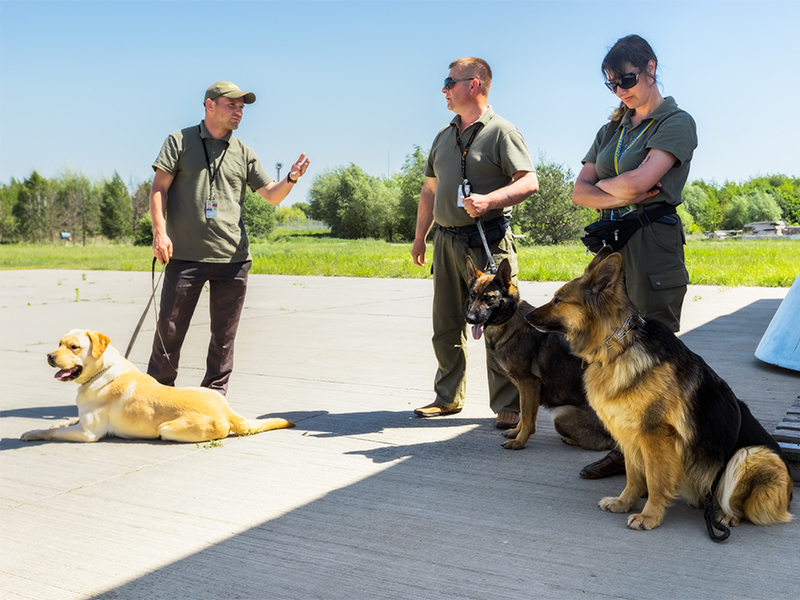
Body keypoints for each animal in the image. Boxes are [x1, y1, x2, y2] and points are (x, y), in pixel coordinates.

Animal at [462, 256, 612, 450]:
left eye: (489, 298)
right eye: (473, 296)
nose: (469, 319)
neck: (509, 322)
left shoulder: (528, 384)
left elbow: (527, 418)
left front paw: (519, 442)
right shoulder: (524, 388)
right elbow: (525, 414)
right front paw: (516, 432)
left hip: (562, 414)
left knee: (603, 443)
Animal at [524, 246, 792, 532]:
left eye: (558, 300)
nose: (526, 316)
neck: (619, 347)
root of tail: (789, 495)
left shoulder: (654, 436)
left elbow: (655, 479)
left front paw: (649, 516)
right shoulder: (629, 434)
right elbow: (633, 475)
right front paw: (624, 502)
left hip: (751, 454)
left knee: (743, 503)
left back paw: (725, 515)